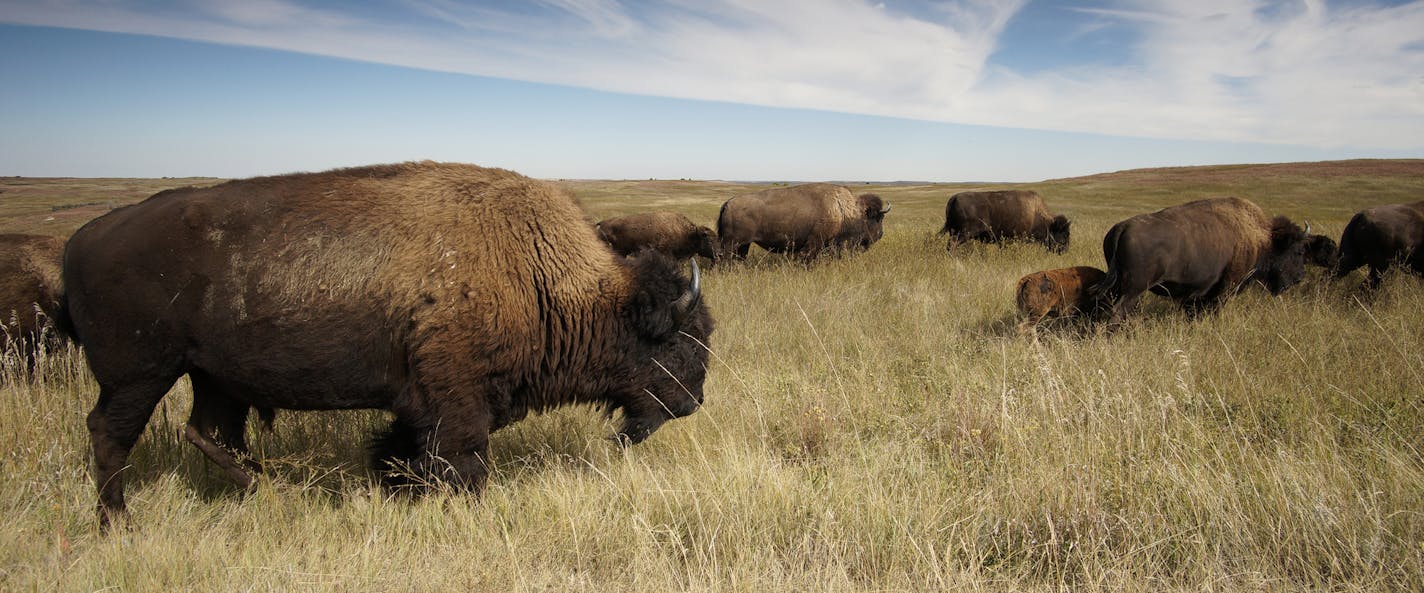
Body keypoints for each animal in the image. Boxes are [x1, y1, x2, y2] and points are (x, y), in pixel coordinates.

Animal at [62, 161, 717, 524]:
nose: (693, 404)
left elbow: (404, 449)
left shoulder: (418, 404)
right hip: (140, 374)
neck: (541, 273)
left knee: (209, 432)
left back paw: (269, 491)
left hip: (215, 377)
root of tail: (82, 237)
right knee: (111, 433)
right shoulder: (457, 400)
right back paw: (118, 522)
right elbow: (463, 460)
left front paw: (394, 487)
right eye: (681, 342)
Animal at [712, 182, 888, 262]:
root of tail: (728, 203)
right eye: (878, 218)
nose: (880, 234)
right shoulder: (814, 243)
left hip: (743, 244)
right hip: (731, 244)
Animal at [934, 189, 1070, 252]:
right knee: (952, 244)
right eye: (1063, 234)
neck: (1035, 213)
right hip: (963, 233)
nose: (1065, 250)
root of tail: (953, 198)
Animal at [1087, 195, 1310, 325]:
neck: (1261, 238)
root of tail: (1122, 227)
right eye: (1298, 251)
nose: (1300, 277)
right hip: (1134, 289)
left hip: (1117, 286)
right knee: (1118, 311)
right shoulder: (1225, 288)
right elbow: (1213, 309)